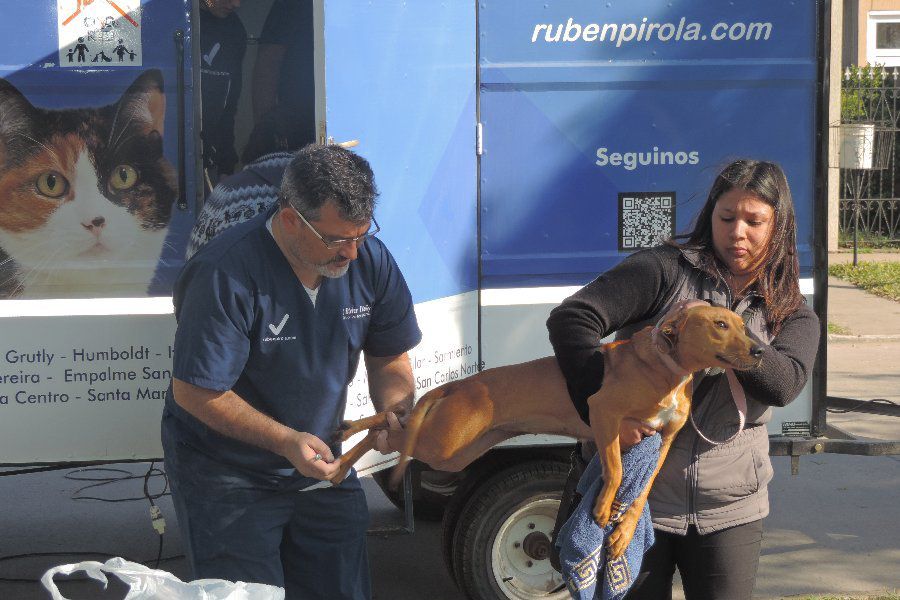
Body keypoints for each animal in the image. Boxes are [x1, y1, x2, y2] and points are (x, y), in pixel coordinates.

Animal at [334, 304, 764, 556]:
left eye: (743, 324)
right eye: (720, 324)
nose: (761, 351)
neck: (667, 369)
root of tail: (458, 385)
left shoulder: (664, 440)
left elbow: (642, 489)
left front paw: (623, 531)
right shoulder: (605, 413)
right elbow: (617, 471)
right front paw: (603, 507)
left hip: (454, 448)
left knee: (395, 426)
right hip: (444, 441)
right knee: (385, 426)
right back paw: (344, 442)